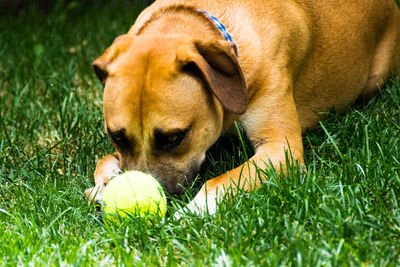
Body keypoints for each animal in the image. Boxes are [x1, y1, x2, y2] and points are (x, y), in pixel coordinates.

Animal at [85, 0, 400, 217]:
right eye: (116, 136)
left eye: (174, 137)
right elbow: (104, 160)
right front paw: (104, 183)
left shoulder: (281, 149)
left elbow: (220, 182)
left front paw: (190, 212)